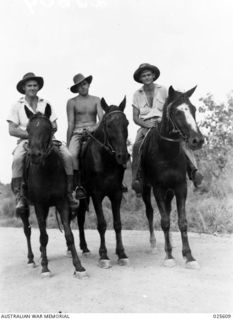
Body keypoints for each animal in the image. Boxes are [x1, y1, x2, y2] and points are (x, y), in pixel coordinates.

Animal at [21, 105, 86, 278]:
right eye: (28, 129)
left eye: (48, 128)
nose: (35, 155)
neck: (47, 171)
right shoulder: (39, 205)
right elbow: (43, 236)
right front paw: (45, 267)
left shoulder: (61, 202)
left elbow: (69, 235)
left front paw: (79, 266)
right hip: (26, 208)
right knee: (27, 231)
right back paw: (31, 259)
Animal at [140, 86, 204, 268]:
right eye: (176, 112)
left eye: (193, 109)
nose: (197, 140)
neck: (166, 152)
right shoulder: (158, 189)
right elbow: (165, 221)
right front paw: (169, 257)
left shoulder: (180, 187)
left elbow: (182, 222)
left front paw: (189, 256)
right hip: (146, 189)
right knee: (150, 213)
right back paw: (154, 245)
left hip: (169, 192)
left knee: (167, 210)